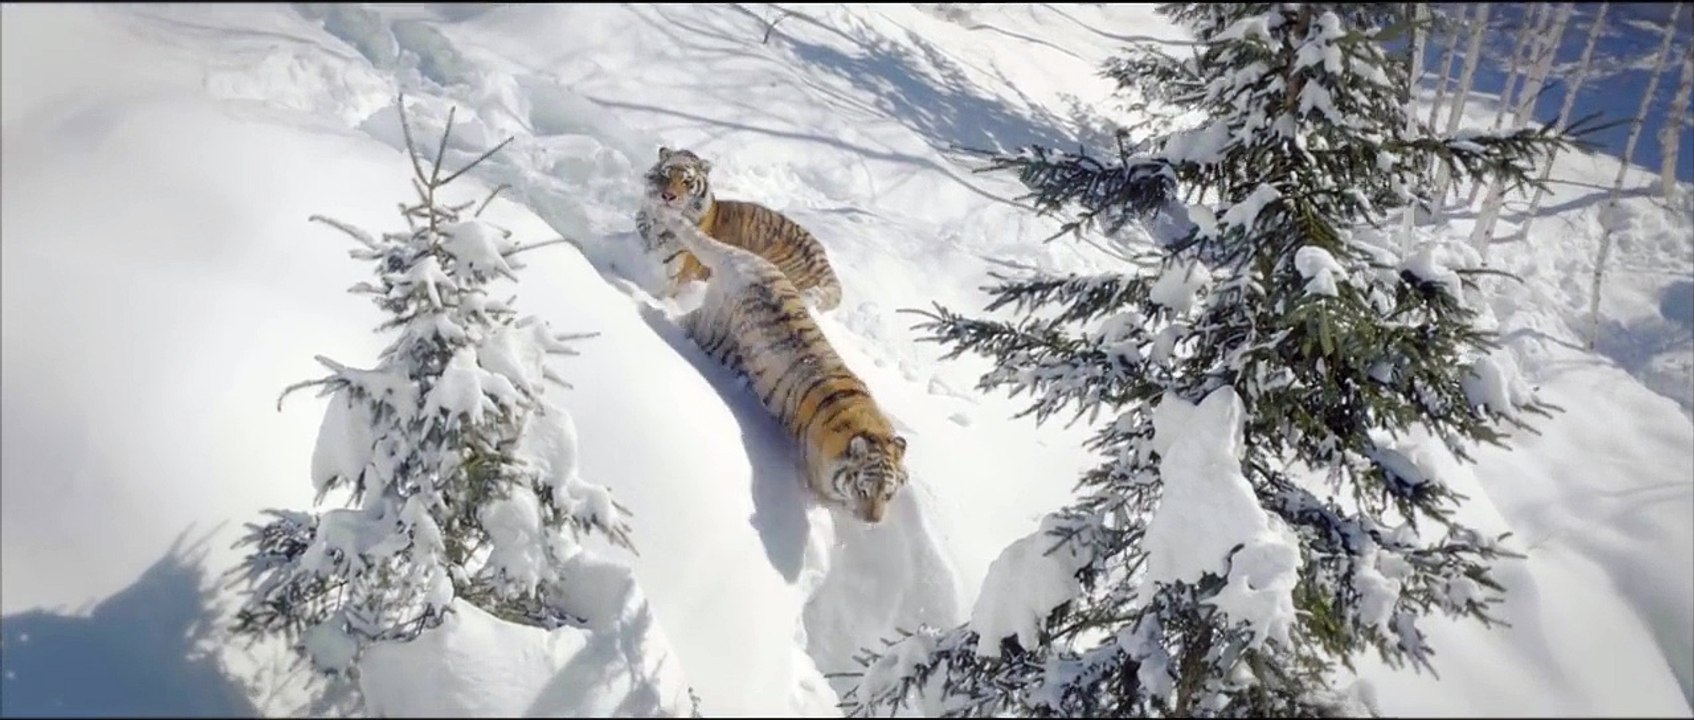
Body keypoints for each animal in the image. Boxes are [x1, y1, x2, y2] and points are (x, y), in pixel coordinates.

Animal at [634, 146, 844, 312]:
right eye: (666, 174)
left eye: (687, 181)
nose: (668, 196)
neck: (658, 222)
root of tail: (821, 257)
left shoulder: (683, 269)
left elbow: (668, 289)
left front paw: (658, 301)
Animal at [648, 205, 907, 524]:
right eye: (863, 490)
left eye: (888, 494)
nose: (873, 521)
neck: (869, 427)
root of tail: (745, 261)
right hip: (712, 328)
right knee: (684, 321)